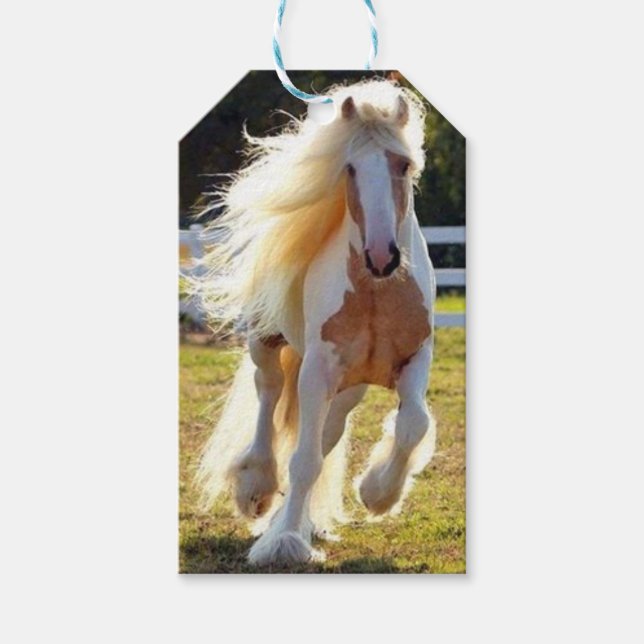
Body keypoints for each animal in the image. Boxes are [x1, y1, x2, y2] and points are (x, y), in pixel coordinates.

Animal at [194, 79, 437, 566]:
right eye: (350, 168)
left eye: (403, 165)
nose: (381, 257)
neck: (377, 293)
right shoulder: (317, 369)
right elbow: (304, 460)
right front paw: (285, 542)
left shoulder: (416, 357)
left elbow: (413, 425)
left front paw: (377, 493)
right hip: (268, 344)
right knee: (268, 394)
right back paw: (257, 489)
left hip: (348, 388)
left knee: (327, 432)